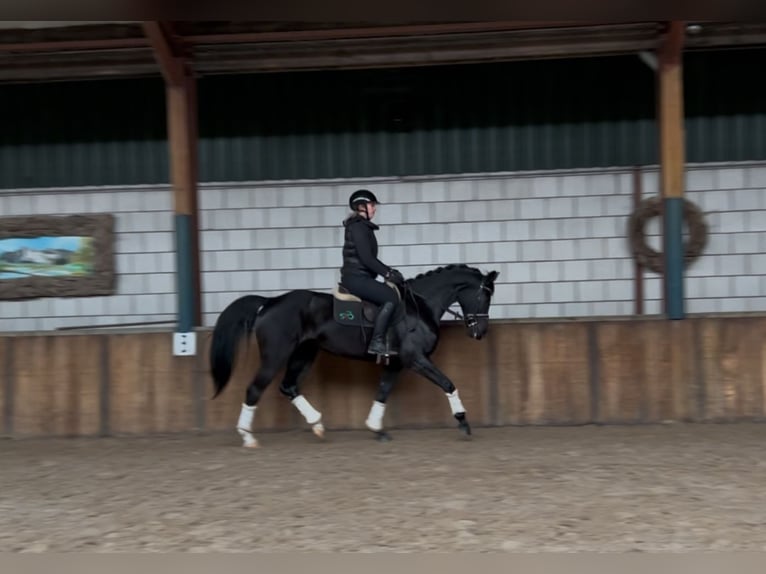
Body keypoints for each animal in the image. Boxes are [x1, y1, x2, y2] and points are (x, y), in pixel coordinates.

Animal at [207, 264, 500, 448]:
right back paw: (248, 438)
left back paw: (317, 425)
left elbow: (382, 392)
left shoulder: (396, 363)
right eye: (485, 297)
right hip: (275, 356)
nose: (480, 332)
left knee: (288, 386)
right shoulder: (415, 359)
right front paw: (463, 422)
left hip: (304, 353)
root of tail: (269, 303)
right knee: (255, 389)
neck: (419, 306)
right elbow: (448, 383)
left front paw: (376, 428)